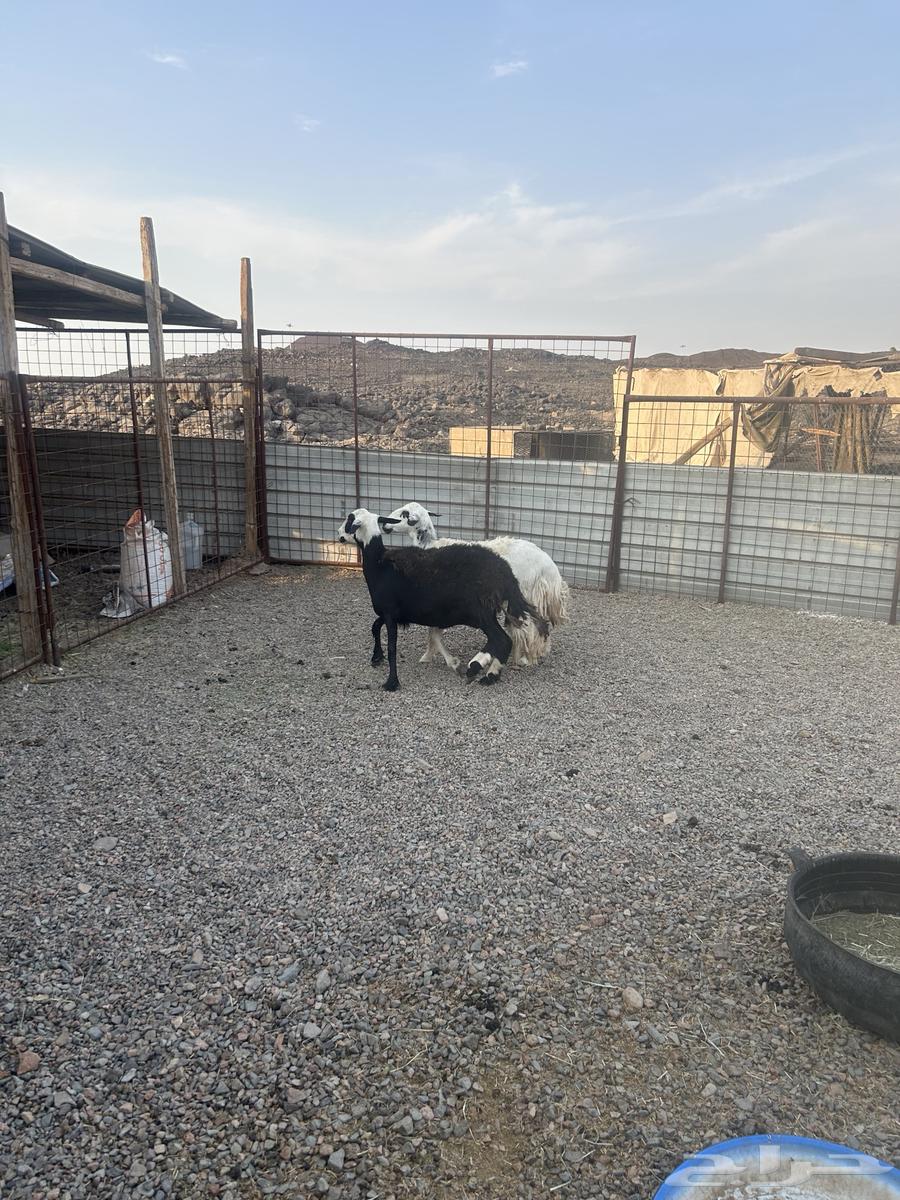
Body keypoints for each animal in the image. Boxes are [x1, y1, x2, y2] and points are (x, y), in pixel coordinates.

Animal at [337, 508, 549, 691]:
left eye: (349, 520)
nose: (339, 534)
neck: (379, 563)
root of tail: (505, 573)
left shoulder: (390, 612)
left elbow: (392, 647)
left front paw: (391, 682)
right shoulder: (394, 613)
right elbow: (375, 626)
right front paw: (376, 657)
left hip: (480, 611)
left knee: (502, 640)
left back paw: (481, 668)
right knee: (503, 640)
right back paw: (487, 671)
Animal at [380, 502, 569, 671]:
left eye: (404, 514)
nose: (384, 524)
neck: (429, 546)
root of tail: (551, 569)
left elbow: (433, 633)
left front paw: (439, 659)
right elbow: (433, 633)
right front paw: (428, 656)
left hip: (524, 595)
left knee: (528, 628)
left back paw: (525, 659)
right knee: (536, 625)